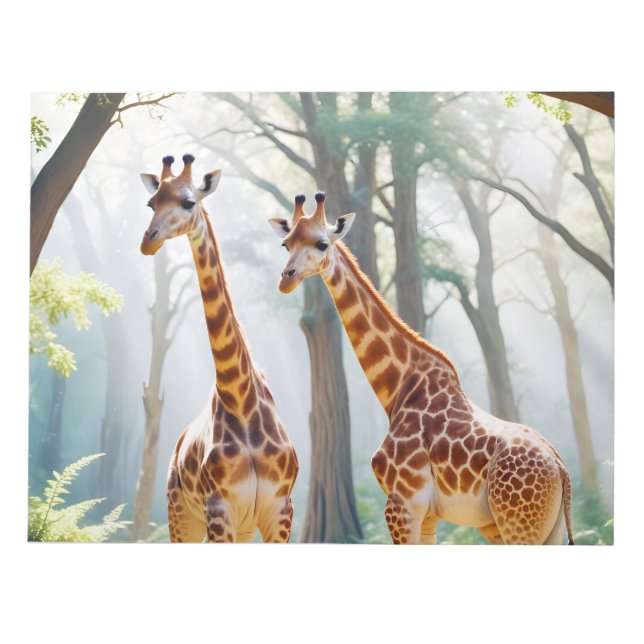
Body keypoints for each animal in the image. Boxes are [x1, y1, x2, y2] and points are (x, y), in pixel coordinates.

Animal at [139, 154, 298, 542]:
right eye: (151, 203)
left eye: (187, 202)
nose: (148, 242)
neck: (240, 399)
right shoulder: (219, 508)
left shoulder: (280, 510)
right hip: (181, 515)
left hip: (242, 527)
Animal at [268, 192, 573, 545]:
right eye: (286, 244)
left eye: (321, 244)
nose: (286, 279)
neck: (400, 386)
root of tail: (562, 471)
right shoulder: (427, 515)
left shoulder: (402, 504)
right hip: (544, 530)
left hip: (518, 526)